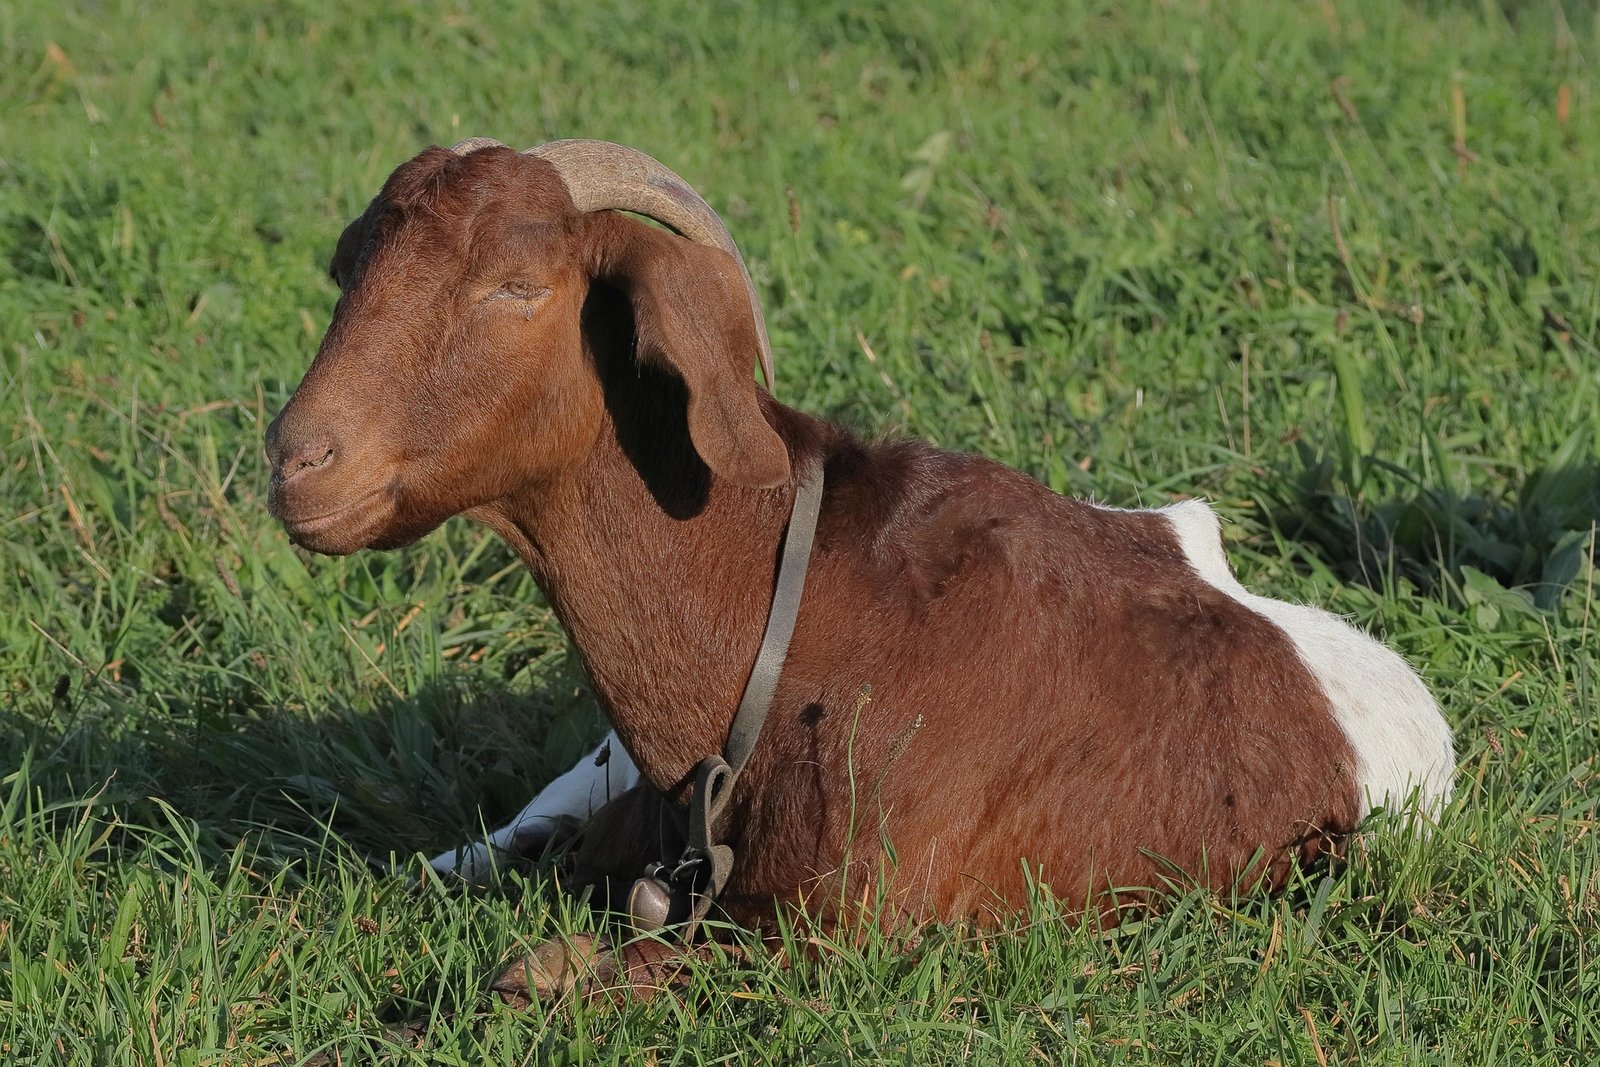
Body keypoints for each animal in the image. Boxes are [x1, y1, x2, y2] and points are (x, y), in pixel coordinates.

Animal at [265, 138, 1454, 1000]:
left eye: (517, 284)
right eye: (349, 267)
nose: (296, 459)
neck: (782, 619)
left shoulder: (849, 927)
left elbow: (539, 975)